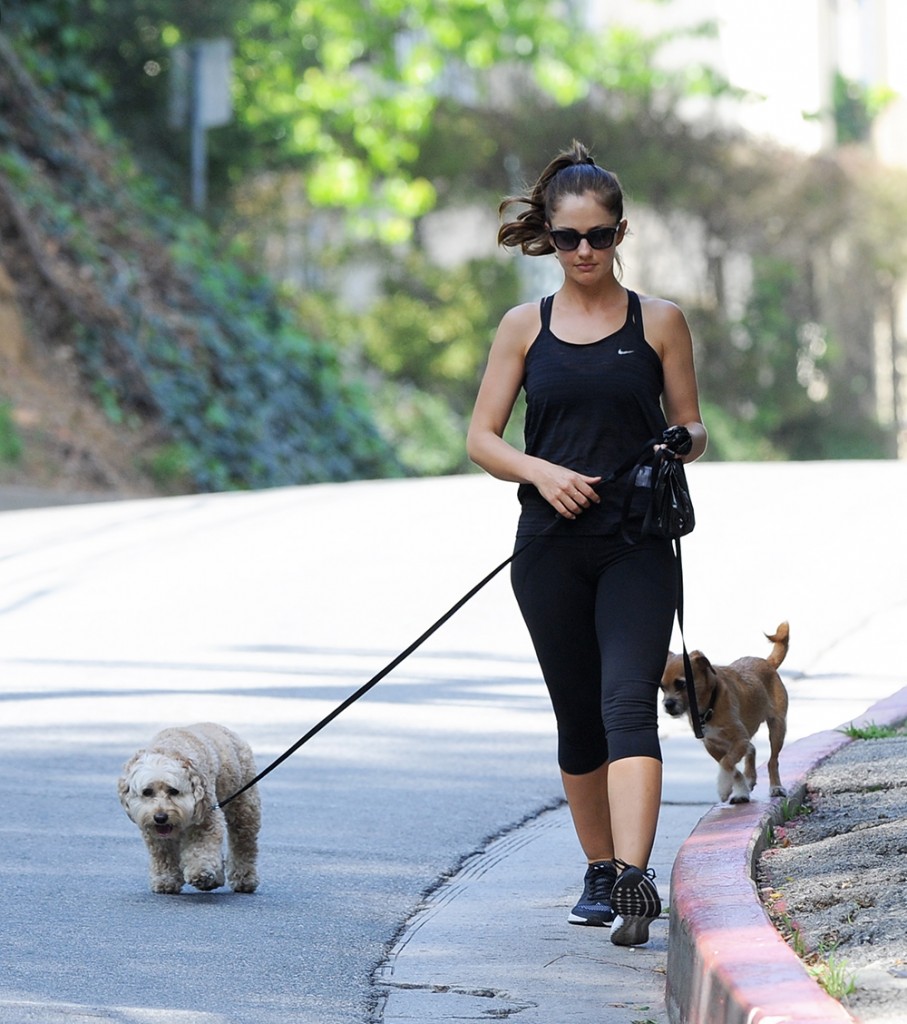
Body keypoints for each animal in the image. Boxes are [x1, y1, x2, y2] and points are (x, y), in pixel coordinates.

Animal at [117, 720, 258, 897]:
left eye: (174, 791)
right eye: (147, 792)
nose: (160, 817)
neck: (169, 747)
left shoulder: (207, 818)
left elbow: (201, 847)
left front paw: (200, 872)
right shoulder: (156, 834)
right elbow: (164, 855)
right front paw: (166, 880)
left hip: (244, 807)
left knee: (243, 844)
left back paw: (243, 879)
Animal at [663, 618, 790, 802]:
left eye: (681, 684)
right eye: (661, 687)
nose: (667, 704)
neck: (710, 705)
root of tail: (768, 662)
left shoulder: (739, 740)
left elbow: (727, 763)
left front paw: (724, 787)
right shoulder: (712, 745)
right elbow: (731, 768)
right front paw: (740, 789)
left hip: (777, 728)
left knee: (772, 760)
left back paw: (775, 787)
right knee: (752, 749)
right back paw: (749, 779)